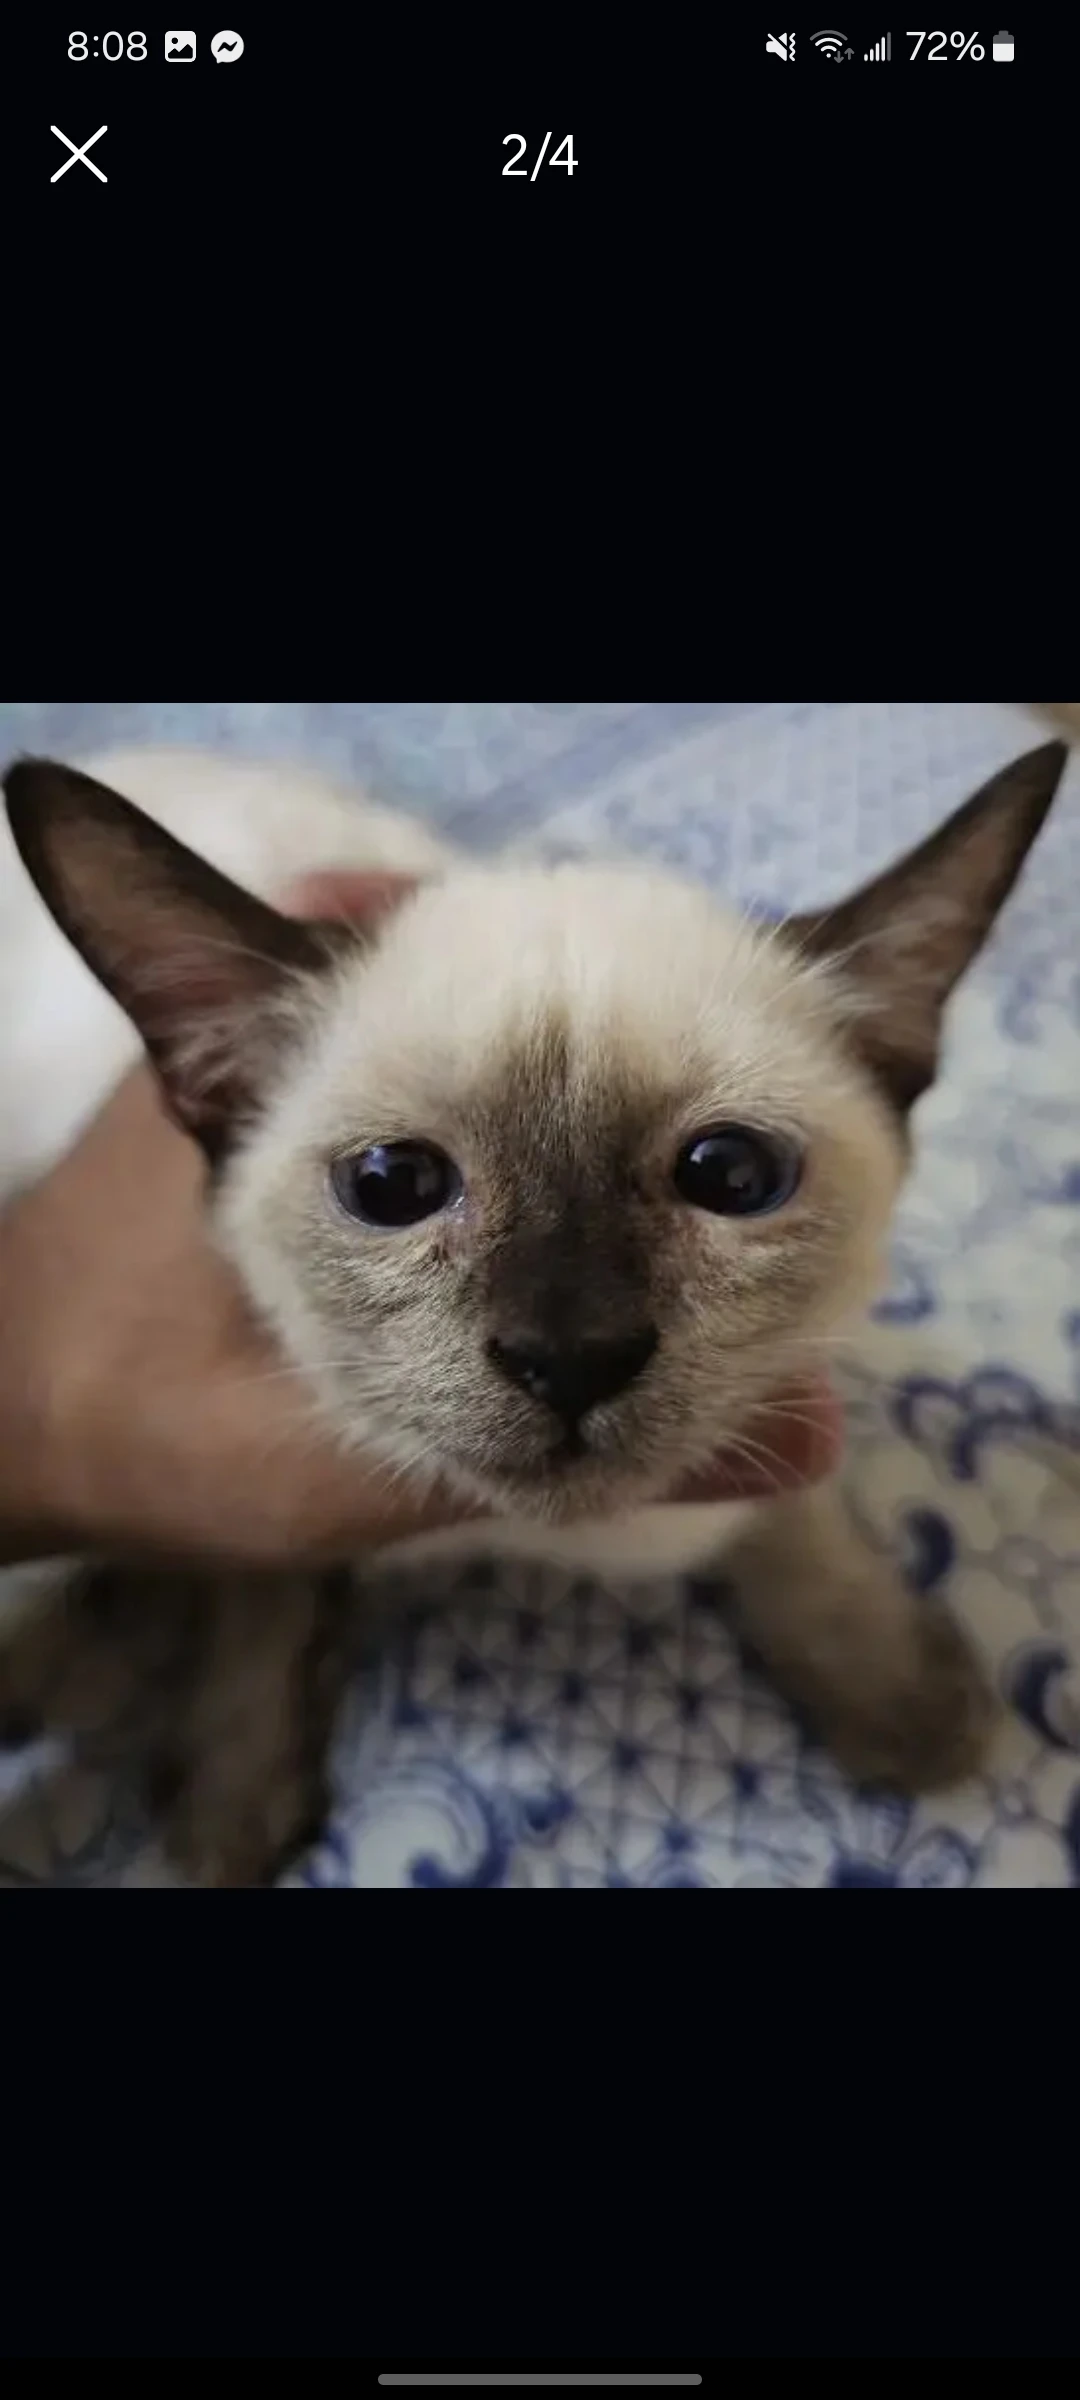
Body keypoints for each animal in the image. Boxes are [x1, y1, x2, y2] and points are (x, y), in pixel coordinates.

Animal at [0, 739, 1065, 1881]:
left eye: (731, 1176)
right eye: (392, 1185)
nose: (575, 1356)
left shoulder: (775, 1411)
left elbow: (794, 1506)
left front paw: (898, 1694)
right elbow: (265, 1602)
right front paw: (231, 1808)